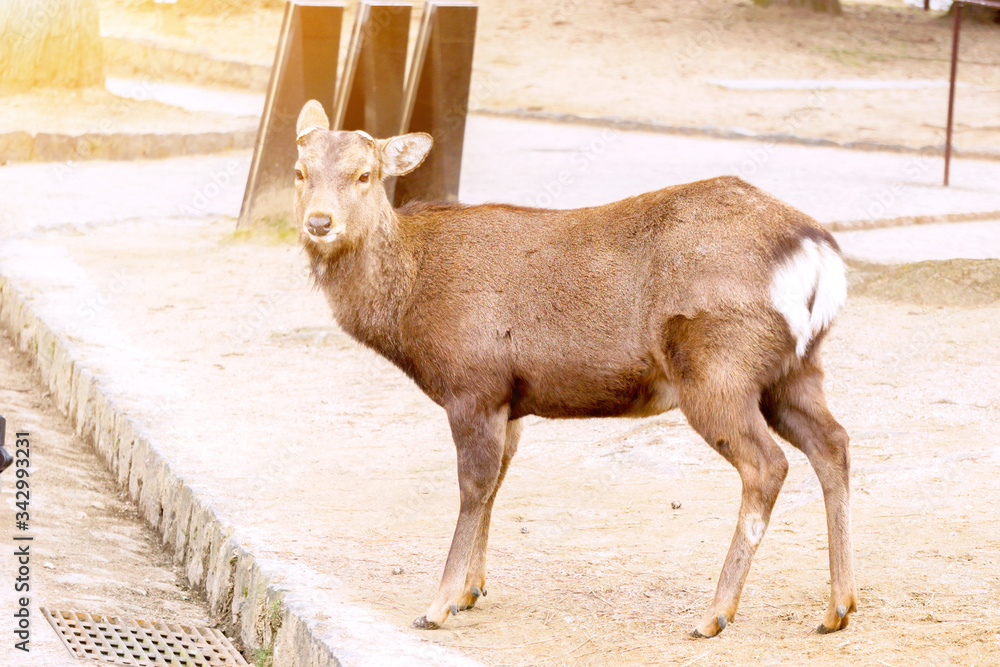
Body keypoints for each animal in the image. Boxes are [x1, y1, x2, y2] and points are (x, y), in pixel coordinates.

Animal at [292, 99, 857, 638]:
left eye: (364, 174)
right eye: (300, 170)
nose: (319, 222)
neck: (408, 305)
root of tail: (817, 253)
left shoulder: (473, 384)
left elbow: (474, 485)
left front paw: (438, 606)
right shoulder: (510, 399)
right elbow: (498, 481)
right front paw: (471, 590)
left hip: (717, 366)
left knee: (767, 465)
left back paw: (714, 614)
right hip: (794, 369)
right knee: (833, 442)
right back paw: (838, 607)